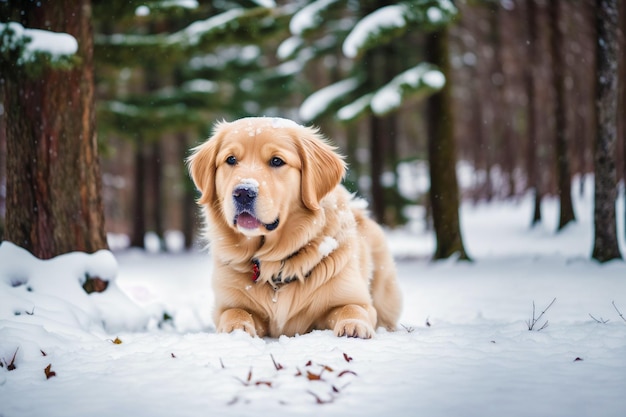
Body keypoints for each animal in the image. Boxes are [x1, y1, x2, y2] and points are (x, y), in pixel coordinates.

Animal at [185, 117, 400, 338]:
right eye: (231, 159)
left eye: (277, 161)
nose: (243, 192)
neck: (275, 263)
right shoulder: (227, 304)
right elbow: (235, 312)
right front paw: (236, 329)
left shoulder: (354, 297)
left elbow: (353, 307)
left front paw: (354, 325)